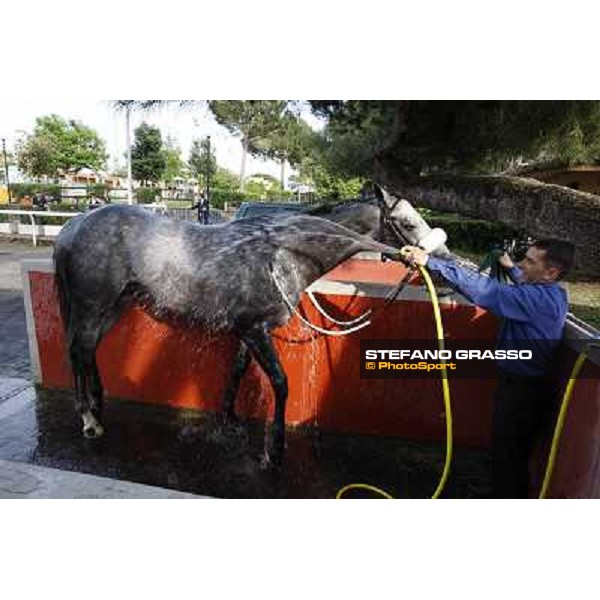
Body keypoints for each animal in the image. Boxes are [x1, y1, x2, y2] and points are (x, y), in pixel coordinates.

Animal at [52, 185, 446, 466]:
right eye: (408, 223)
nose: (440, 258)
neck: (285, 253)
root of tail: (73, 226)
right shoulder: (255, 330)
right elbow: (281, 382)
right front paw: (275, 450)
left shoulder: (247, 332)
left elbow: (237, 372)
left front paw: (228, 421)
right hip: (92, 307)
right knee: (78, 350)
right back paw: (89, 419)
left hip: (115, 306)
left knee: (88, 351)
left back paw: (98, 405)